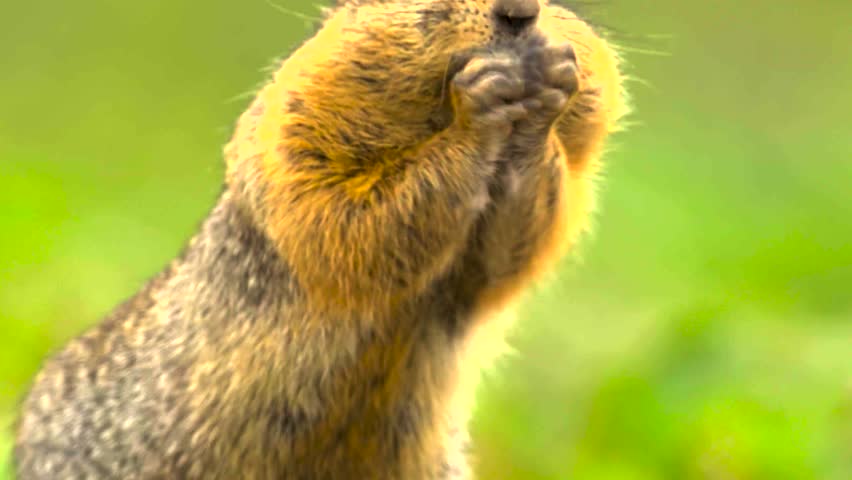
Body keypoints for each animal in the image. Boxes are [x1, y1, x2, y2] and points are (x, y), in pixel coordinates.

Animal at [13, 0, 626, 478]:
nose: (521, 11)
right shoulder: (294, 143)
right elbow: (351, 223)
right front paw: (480, 106)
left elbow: (506, 254)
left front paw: (546, 89)